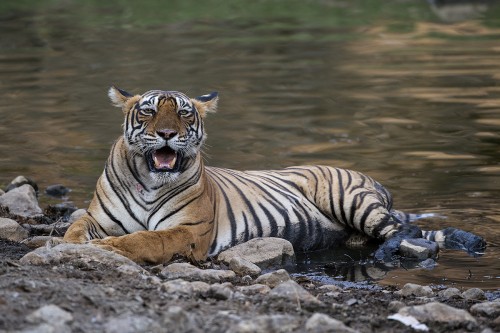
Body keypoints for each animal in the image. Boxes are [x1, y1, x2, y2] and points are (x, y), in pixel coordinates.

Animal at [63, 87, 488, 264]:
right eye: (149, 112)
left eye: (183, 113)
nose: (167, 133)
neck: (151, 182)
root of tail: (371, 179)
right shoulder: (97, 216)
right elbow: (75, 228)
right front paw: (66, 246)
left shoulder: (190, 230)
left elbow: (147, 239)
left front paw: (109, 248)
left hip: (351, 199)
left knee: (407, 232)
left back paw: (387, 251)